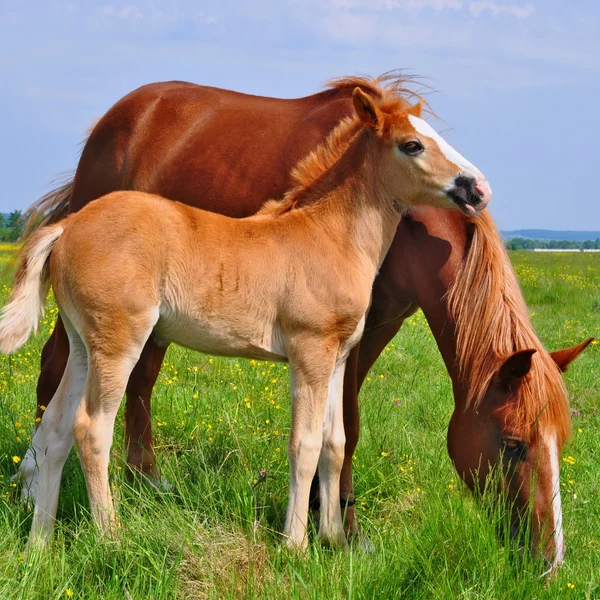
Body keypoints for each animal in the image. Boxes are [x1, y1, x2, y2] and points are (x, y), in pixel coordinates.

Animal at [18, 76, 584, 568]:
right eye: (412, 145)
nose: (478, 189)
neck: (327, 233)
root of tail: (70, 225)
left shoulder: (339, 354)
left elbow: (335, 441)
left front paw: (334, 536)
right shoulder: (310, 353)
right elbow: (305, 444)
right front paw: (297, 545)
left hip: (88, 346)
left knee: (58, 426)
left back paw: (41, 540)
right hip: (118, 342)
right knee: (91, 426)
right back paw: (109, 537)